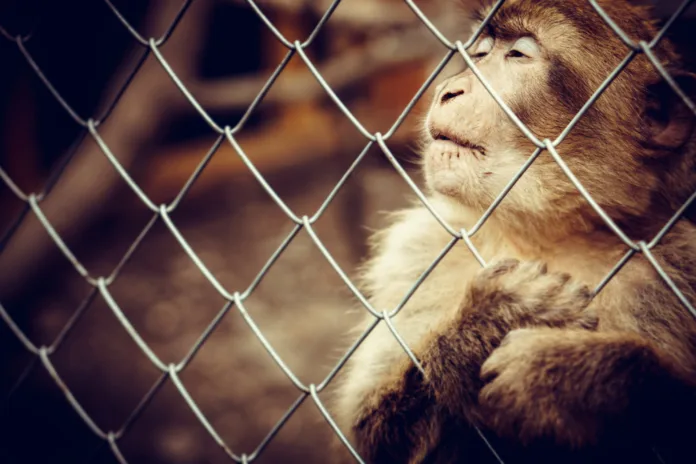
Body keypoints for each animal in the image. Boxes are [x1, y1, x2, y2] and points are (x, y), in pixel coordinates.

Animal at [328, 1, 696, 462]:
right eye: (481, 52)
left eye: (518, 54)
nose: (448, 89)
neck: (547, 234)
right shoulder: (418, 249)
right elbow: (368, 435)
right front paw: (491, 320)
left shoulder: (677, 263)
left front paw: (573, 379)